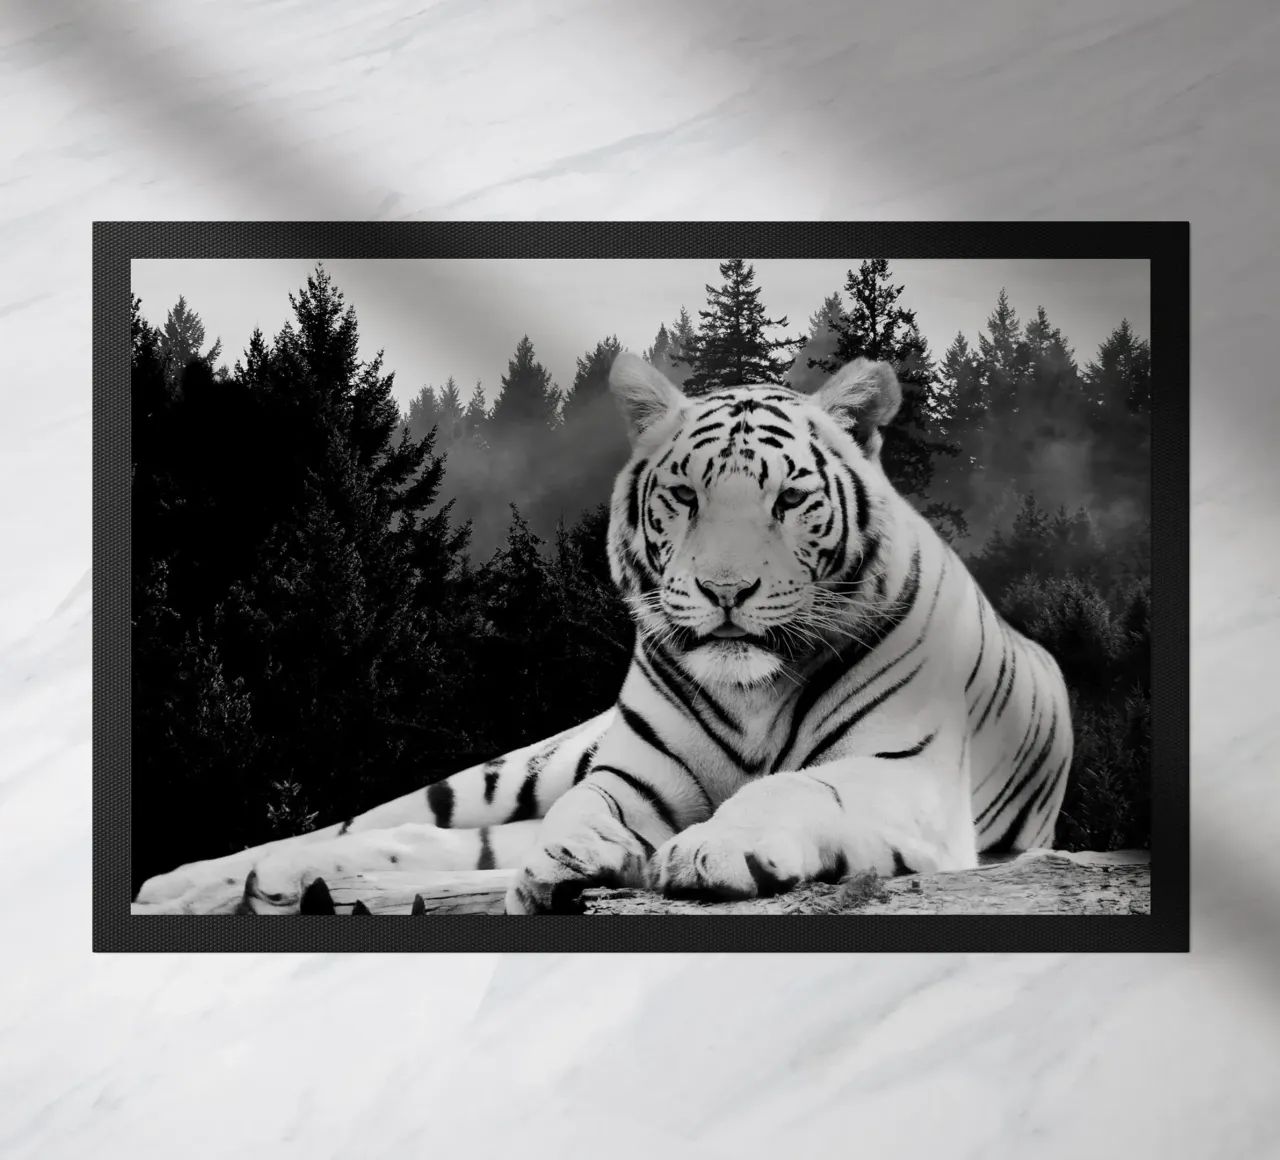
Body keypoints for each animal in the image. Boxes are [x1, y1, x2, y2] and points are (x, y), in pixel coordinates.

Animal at [133, 350, 1074, 916]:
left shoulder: (904, 773)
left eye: (789, 499)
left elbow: (799, 788)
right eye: (686, 495)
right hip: (510, 772)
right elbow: (589, 807)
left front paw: (711, 849)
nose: (724, 590)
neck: (755, 692)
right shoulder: (634, 777)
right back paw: (197, 881)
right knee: (384, 825)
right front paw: (573, 859)